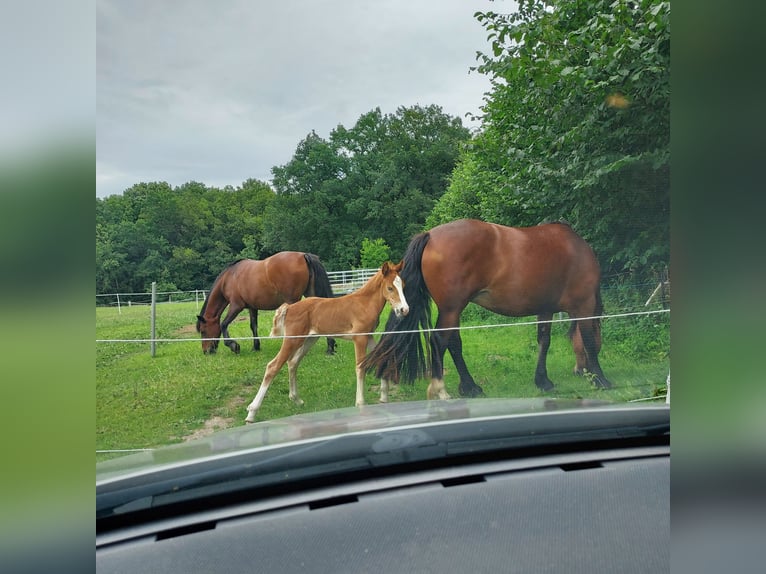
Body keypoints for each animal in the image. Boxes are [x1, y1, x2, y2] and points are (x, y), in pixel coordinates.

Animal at [196, 252, 336, 355]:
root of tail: (303, 255)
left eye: (203, 331)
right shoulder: (252, 307)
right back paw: (330, 347)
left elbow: (223, 324)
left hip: (293, 301)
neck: (230, 278)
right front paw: (256, 346)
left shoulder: (236, 306)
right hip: (310, 295)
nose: (206, 351)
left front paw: (233, 346)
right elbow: (253, 326)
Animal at [245, 261, 408, 423]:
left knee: (293, 362)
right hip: (293, 340)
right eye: (390, 288)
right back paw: (251, 413)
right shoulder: (359, 338)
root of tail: (289, 307)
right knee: (273, 366)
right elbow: (360, 368)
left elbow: (383, 358)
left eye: (403, 285)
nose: (404, 310)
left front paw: (384, 396)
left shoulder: (369, 336)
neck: (364, 303)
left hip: (309, 339)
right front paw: (361, 403)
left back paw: (296, 399)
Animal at [361, 219, 611, 400]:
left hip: (453, 310)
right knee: (440, 341)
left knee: (453, 343)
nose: (579, 371)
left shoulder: (545, 309)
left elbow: (544, 341)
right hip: (452, 308)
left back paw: (469, 386)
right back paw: (442, 389)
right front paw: (601, 379)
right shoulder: (585, 304)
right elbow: (588, 340)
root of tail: (430, 235)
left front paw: (543, 381)